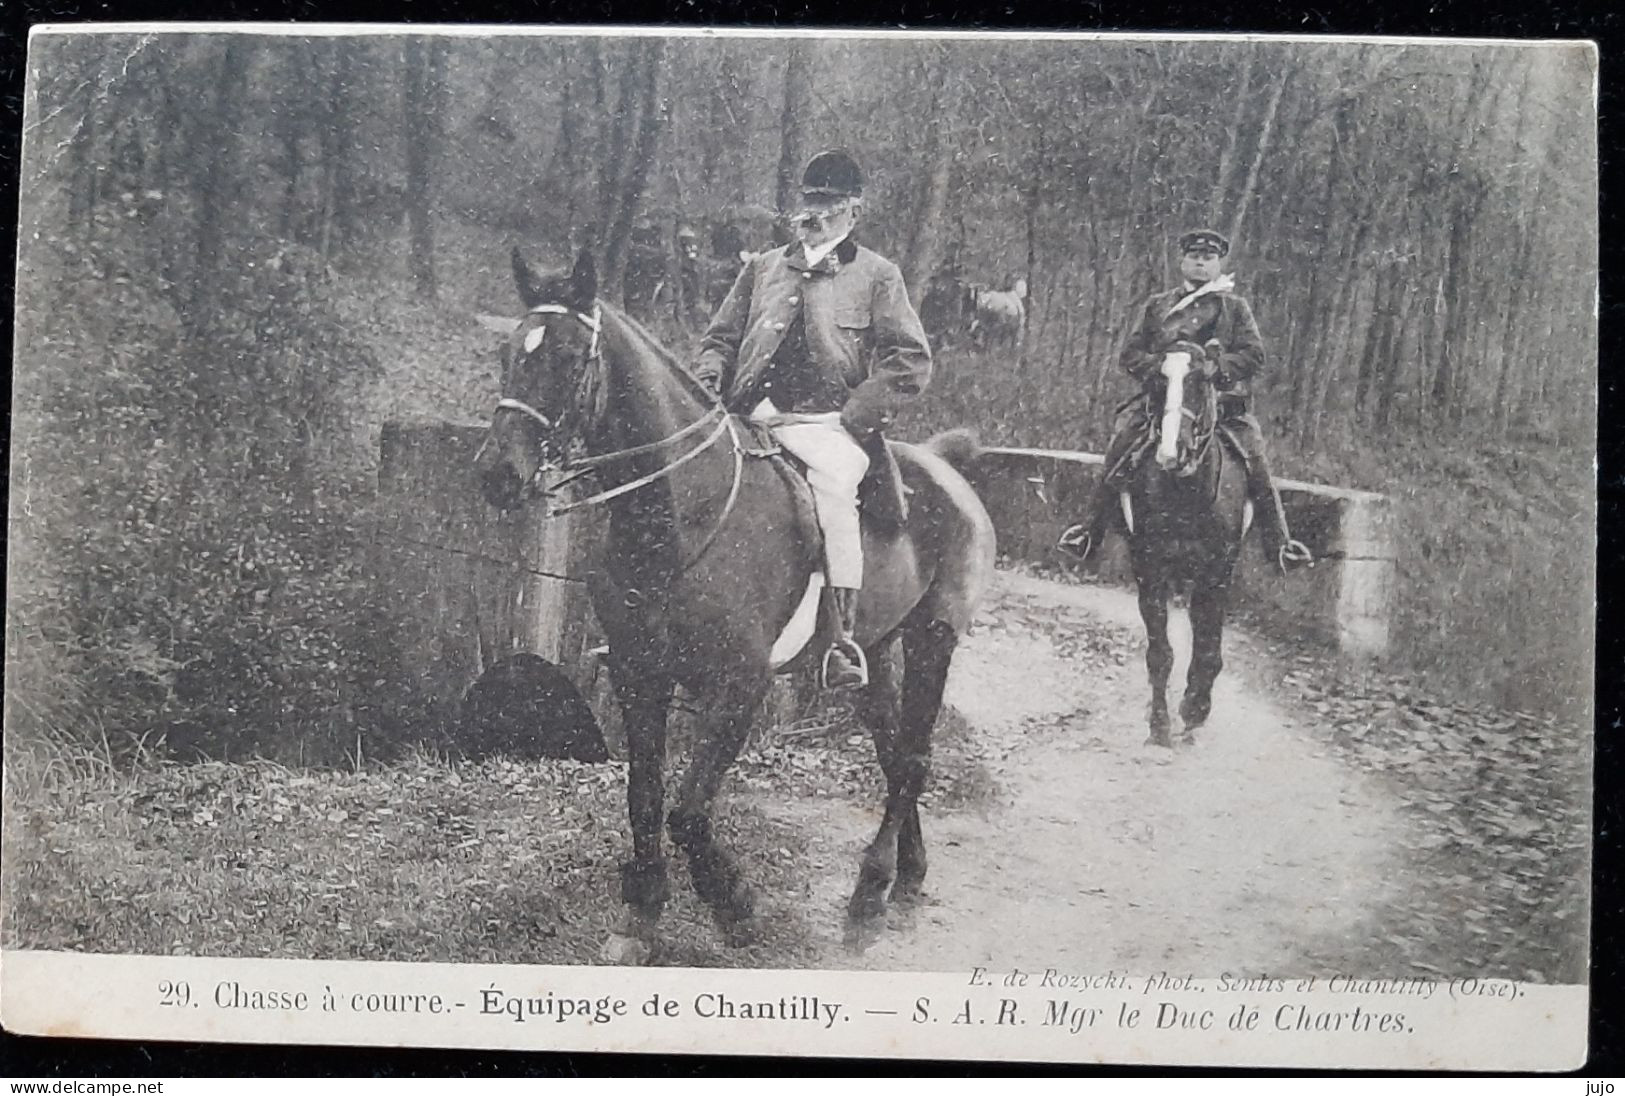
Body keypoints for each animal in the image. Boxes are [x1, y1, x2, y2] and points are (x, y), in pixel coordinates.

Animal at [474, 252, 994, 962]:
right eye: (508, 351)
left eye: (569, 357)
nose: (496, 473)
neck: (680, 510)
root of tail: (943, 466)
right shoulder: (640, 674)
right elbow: (644, 797)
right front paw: (643, 912)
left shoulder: (738, 687)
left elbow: (688, 812)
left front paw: (735, 904)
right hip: (877, 651)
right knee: (894, 757)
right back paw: (905, 875)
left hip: (933, 639)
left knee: (912, 760)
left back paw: (868, 894)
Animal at [1124, 346, 1248, 748]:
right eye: (1157, 384)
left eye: (1199, 382)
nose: (1169, 453)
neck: (1185, 494)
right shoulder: (1150, 574)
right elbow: (1160, 654)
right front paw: (1159, 725)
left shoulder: (1216, 577)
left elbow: (1208, 649)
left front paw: (1194, 710)